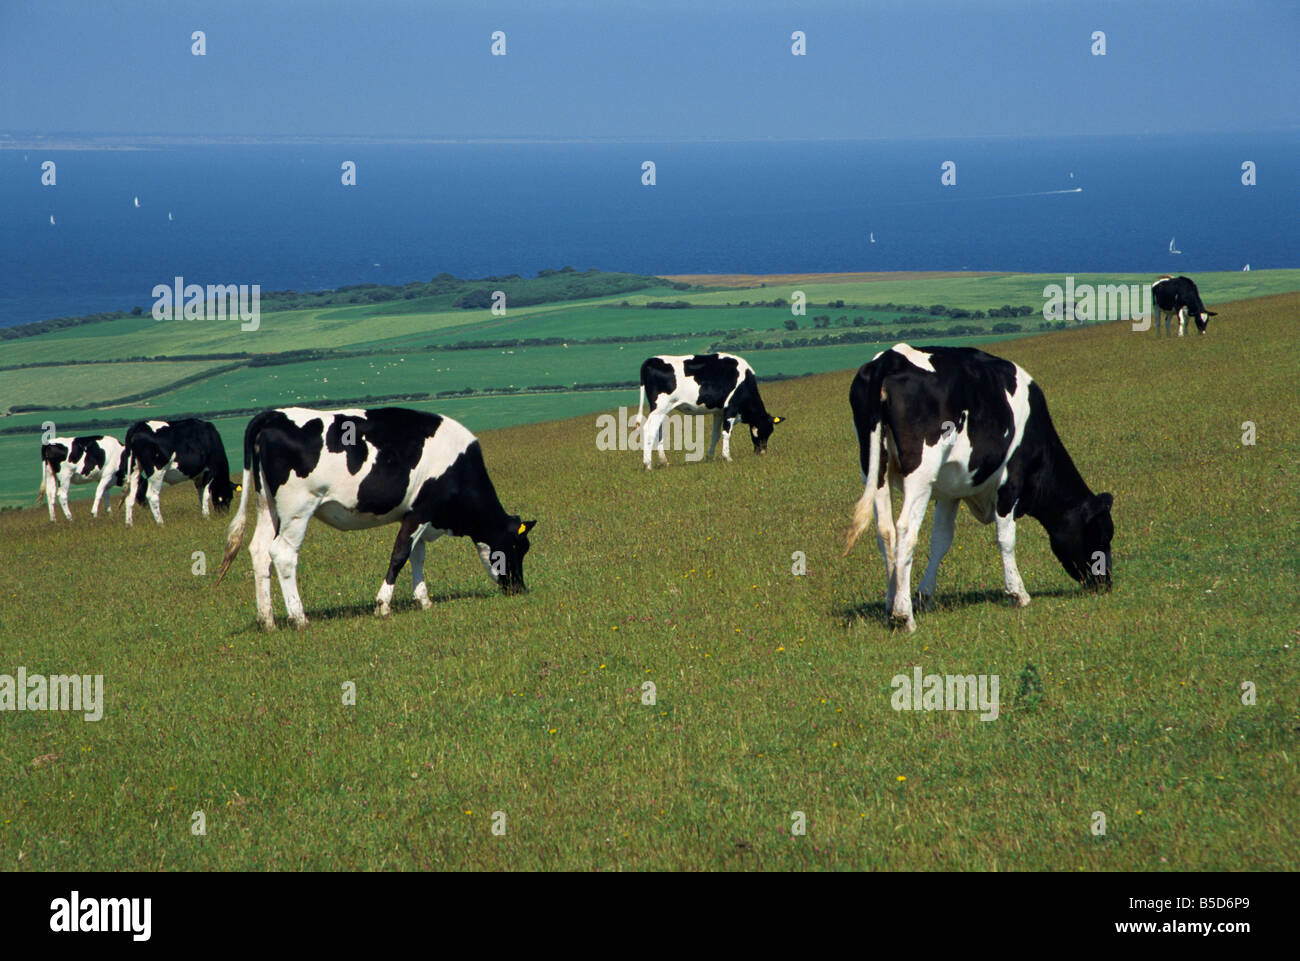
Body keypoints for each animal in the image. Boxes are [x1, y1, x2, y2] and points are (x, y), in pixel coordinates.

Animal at [215, 405, 535, 631]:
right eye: (519, 547)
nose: (519, 588)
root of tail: (273, 415)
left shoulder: (419, 516)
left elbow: (418, 556)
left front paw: (424, 600)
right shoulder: (420, 511)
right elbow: (400, 555)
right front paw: (383, 605)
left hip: (267, 505)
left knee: (259, 551)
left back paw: (267, 620)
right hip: (297, 509)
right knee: (282, 554)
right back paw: (299, 617)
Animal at [629, 353, 780, 473]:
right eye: (767, 431)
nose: (762, 452)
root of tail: (651, 360)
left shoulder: (719, 412)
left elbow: (715, 434)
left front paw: (709, 457)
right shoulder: (731, 407)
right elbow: (726, 433)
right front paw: (727, 457)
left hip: (661, 409)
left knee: (657, 431)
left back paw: (663, 462)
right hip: (660, 407)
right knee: (649, 429)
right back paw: (647, 465)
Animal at [842, 343, 1118, 631]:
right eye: (1103, 534)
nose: (1105, 583)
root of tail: (892, 357)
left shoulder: (950, 491)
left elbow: (940, 541)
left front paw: (924, 596)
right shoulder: (1011, 478)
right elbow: (1005, 538)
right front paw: (1017, 593)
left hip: (874, 468)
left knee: (885, 531)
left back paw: (890, 608)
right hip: (920, 474)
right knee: (905, 530)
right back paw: (904, 616)